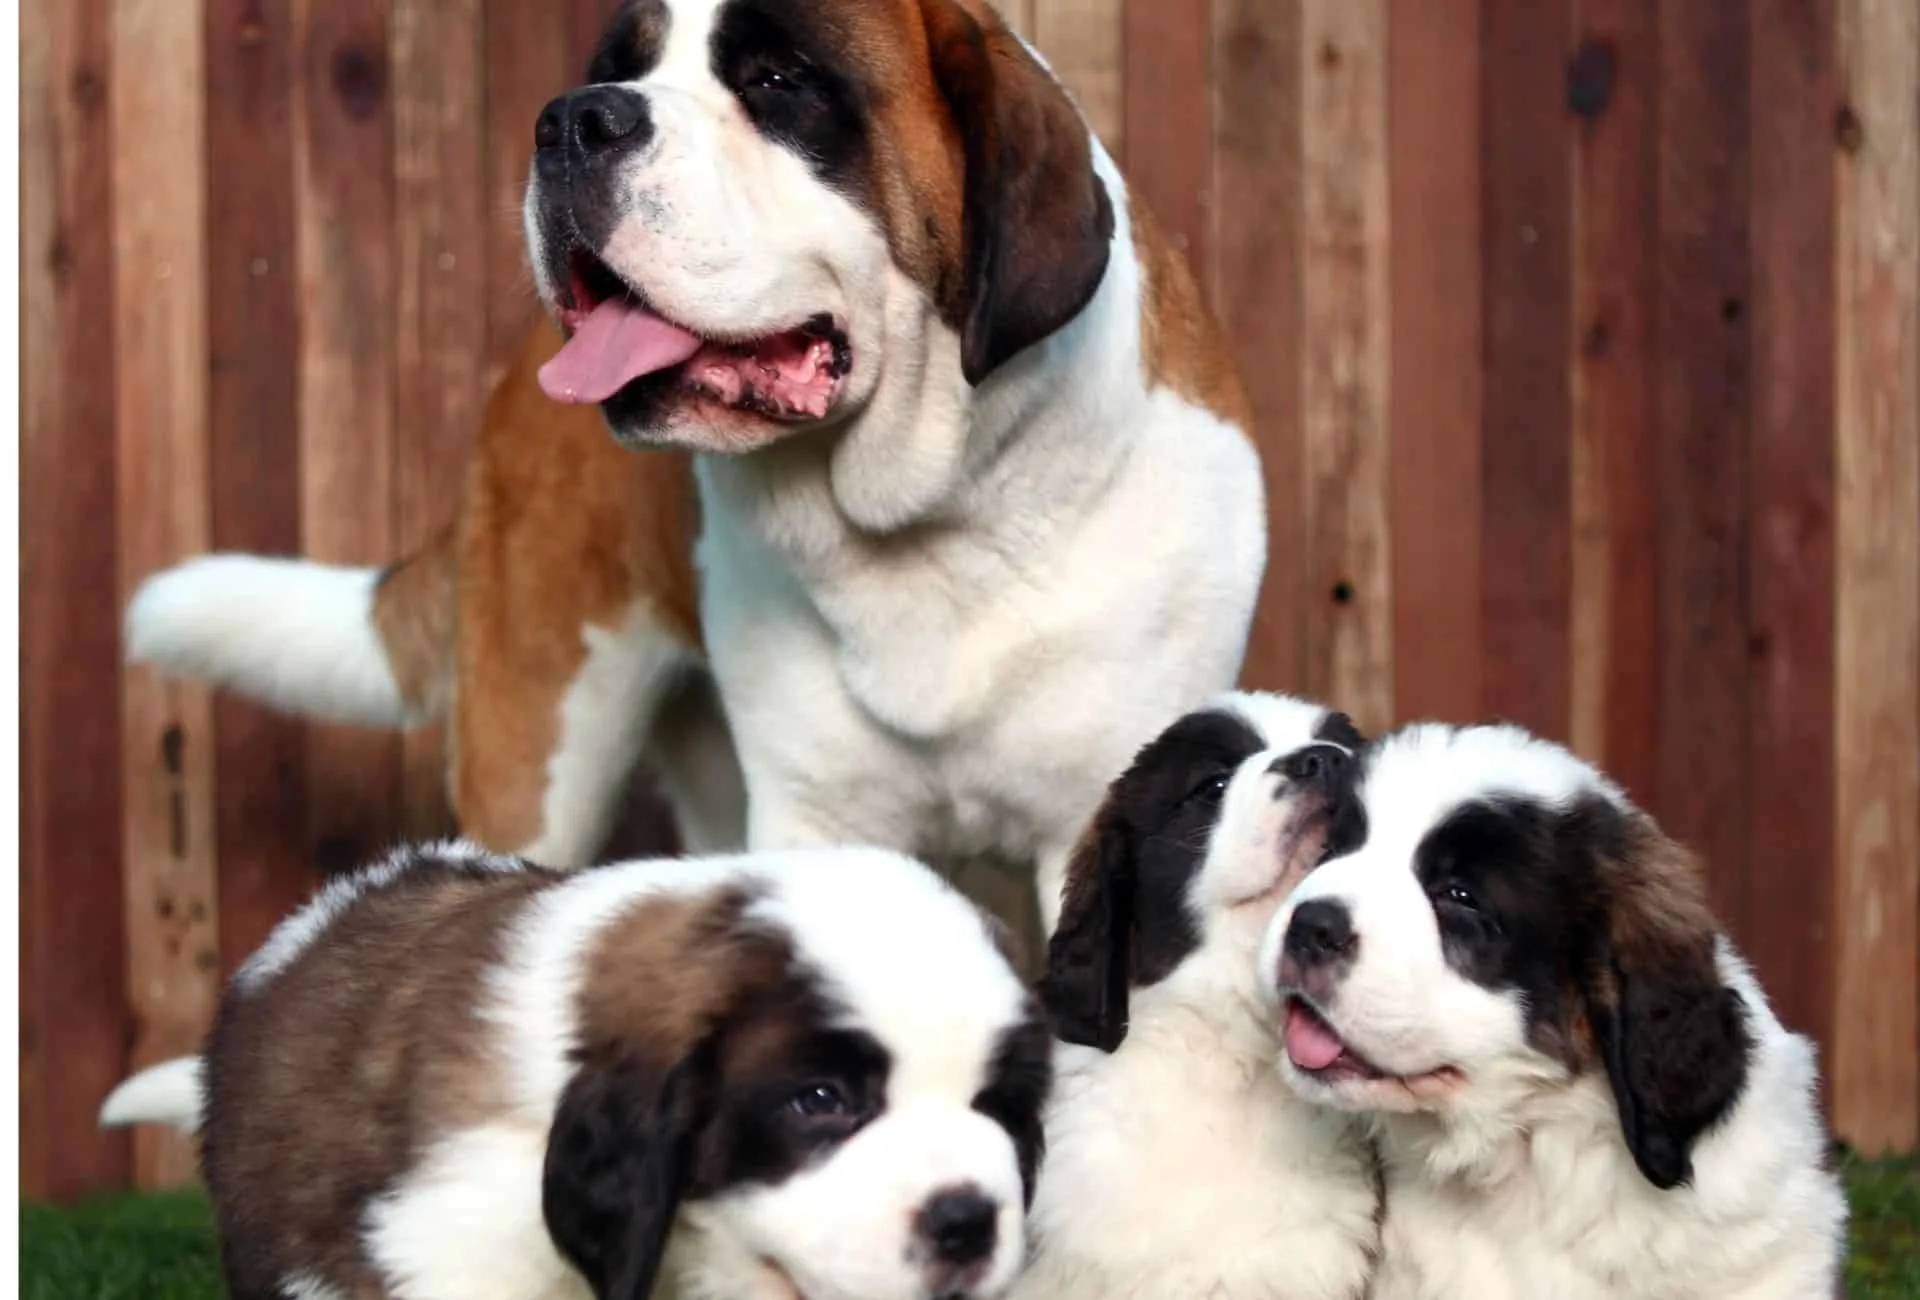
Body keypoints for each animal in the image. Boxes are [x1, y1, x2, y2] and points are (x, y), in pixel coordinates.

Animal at [116, 0, 1259, 944]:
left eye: (777, 79)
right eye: (617, 68)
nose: (573, 120)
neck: (941, 513)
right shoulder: (815, 818)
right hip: (542, 756)